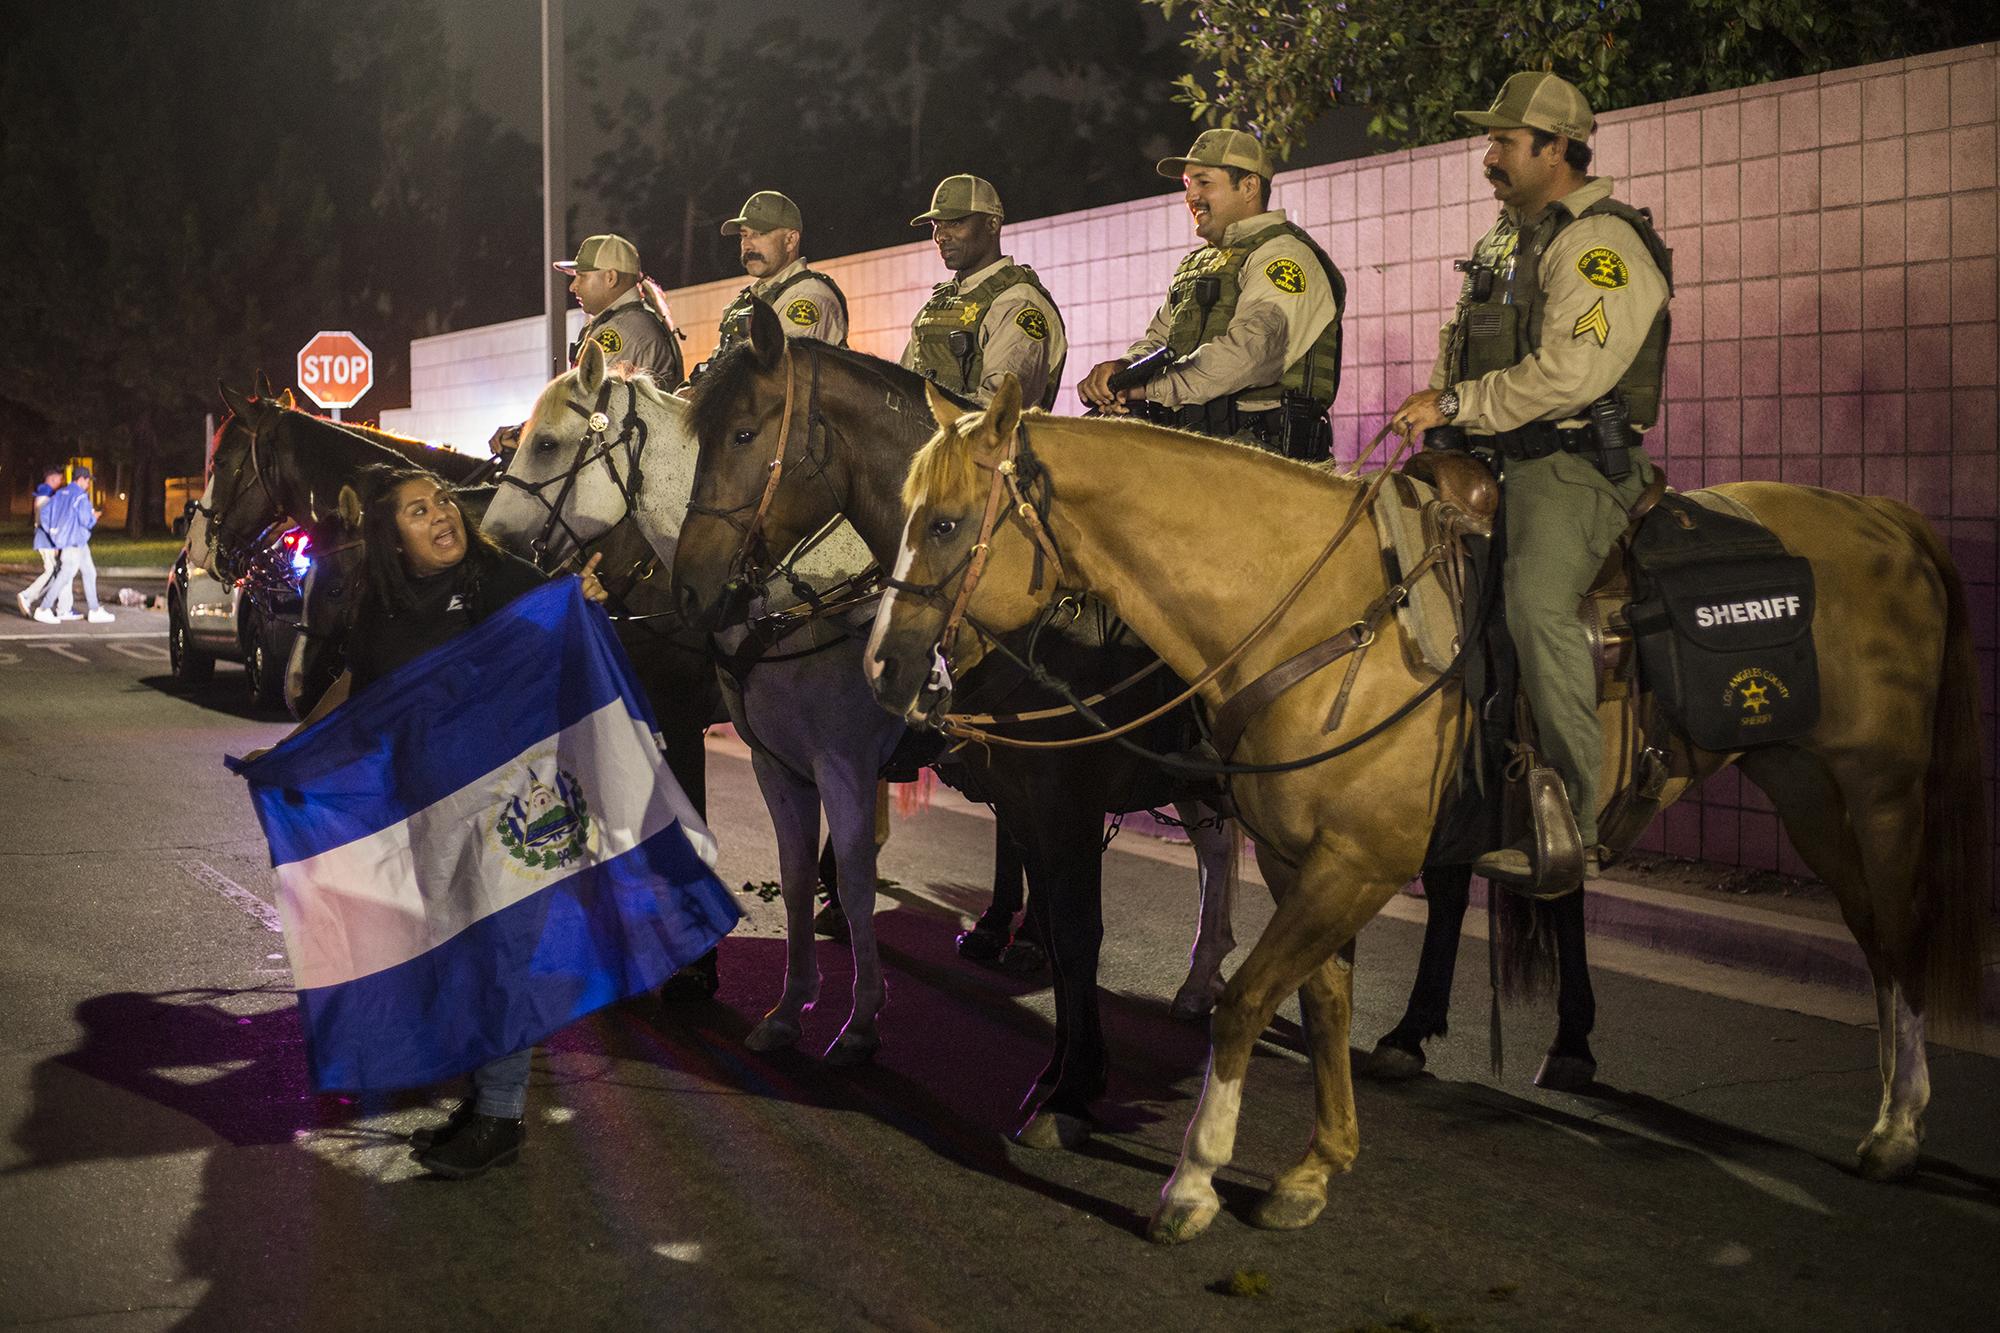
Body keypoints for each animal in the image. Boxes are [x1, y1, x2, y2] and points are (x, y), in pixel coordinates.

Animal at [868, 376, 1992, 1248]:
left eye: (947, 522)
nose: (882, 667)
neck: (1318, 615)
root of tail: (1883, 518)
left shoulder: (1351, 863)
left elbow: (1241, 999)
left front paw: (1188, 1178)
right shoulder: (1299, 860)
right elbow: (1318, 1000)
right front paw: (1315, 1167)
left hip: (1875, 787)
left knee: (1896, 934)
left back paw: (1897, 1129)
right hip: (1801, 783)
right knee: (1870, 935)